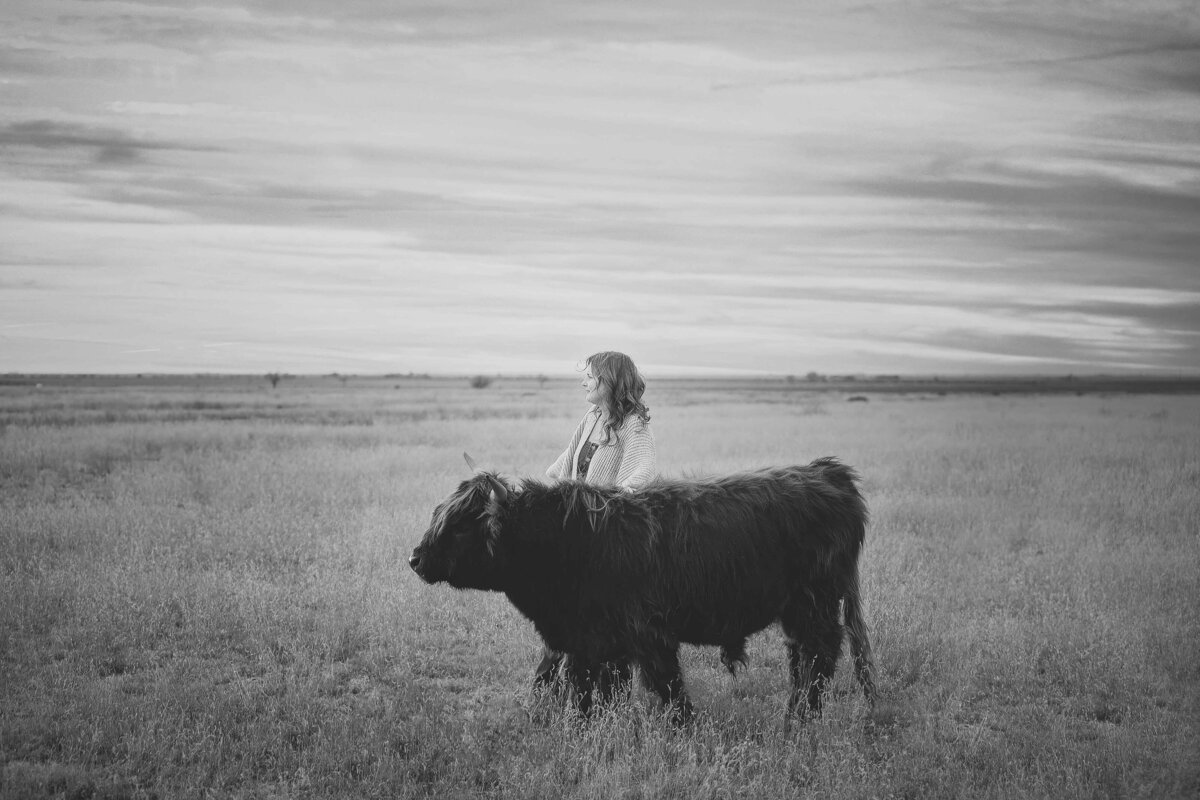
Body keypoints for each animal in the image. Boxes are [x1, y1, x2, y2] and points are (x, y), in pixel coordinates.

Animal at [408, 453, 878, 724]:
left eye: (462, 524)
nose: (415, 559)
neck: (568, 541)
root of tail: (826, 471)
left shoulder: (647, 635)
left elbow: (668, 689)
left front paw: (687, 729)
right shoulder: (589, 642)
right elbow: (589, 691)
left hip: (814, 602)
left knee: (818, 656)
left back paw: (800, 718)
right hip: (800, 608)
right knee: (803, 656)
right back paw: (797, 713)